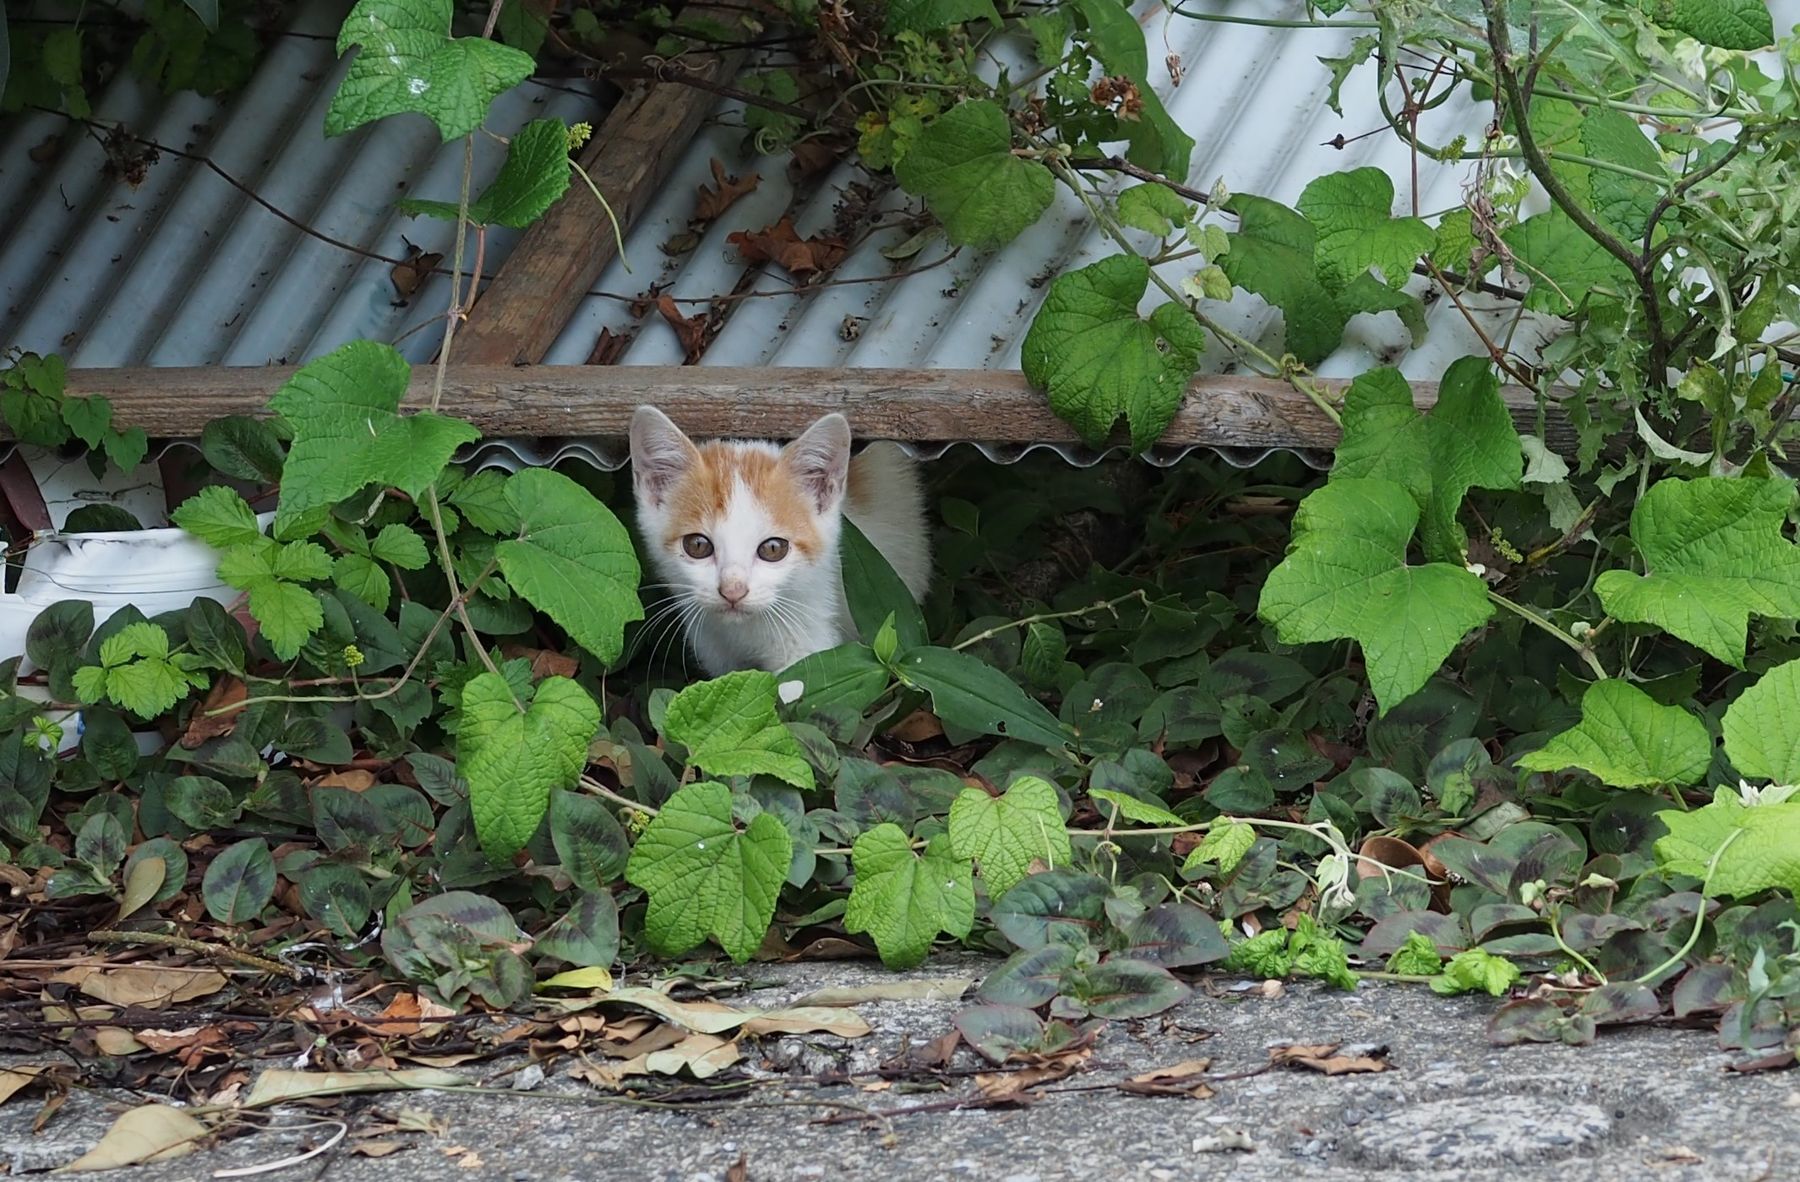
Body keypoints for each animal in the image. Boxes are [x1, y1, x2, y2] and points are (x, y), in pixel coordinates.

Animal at [626, 406, 928, 676]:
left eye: (773, 549)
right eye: (698, 546)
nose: (733, 591)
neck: (744, 633)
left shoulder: (810, 647)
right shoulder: (717, 652)